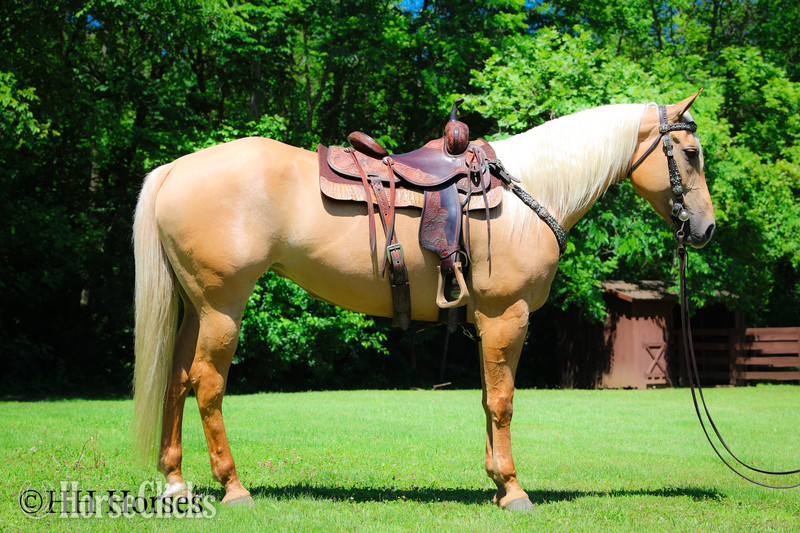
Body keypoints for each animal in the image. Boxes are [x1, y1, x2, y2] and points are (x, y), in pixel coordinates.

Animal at [132, 92, 715, 510]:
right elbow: (503, 402)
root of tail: (176, 168)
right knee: (208, 385)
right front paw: (514, 491)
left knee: (176, 380)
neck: (531, 191)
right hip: (222, 307)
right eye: (690, 154)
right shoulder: (507, 316)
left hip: (195, 308)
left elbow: (486, 398)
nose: (706, 228)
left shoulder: (485, 322)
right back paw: (233, 487)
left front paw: (497, 483)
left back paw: (177, 483)